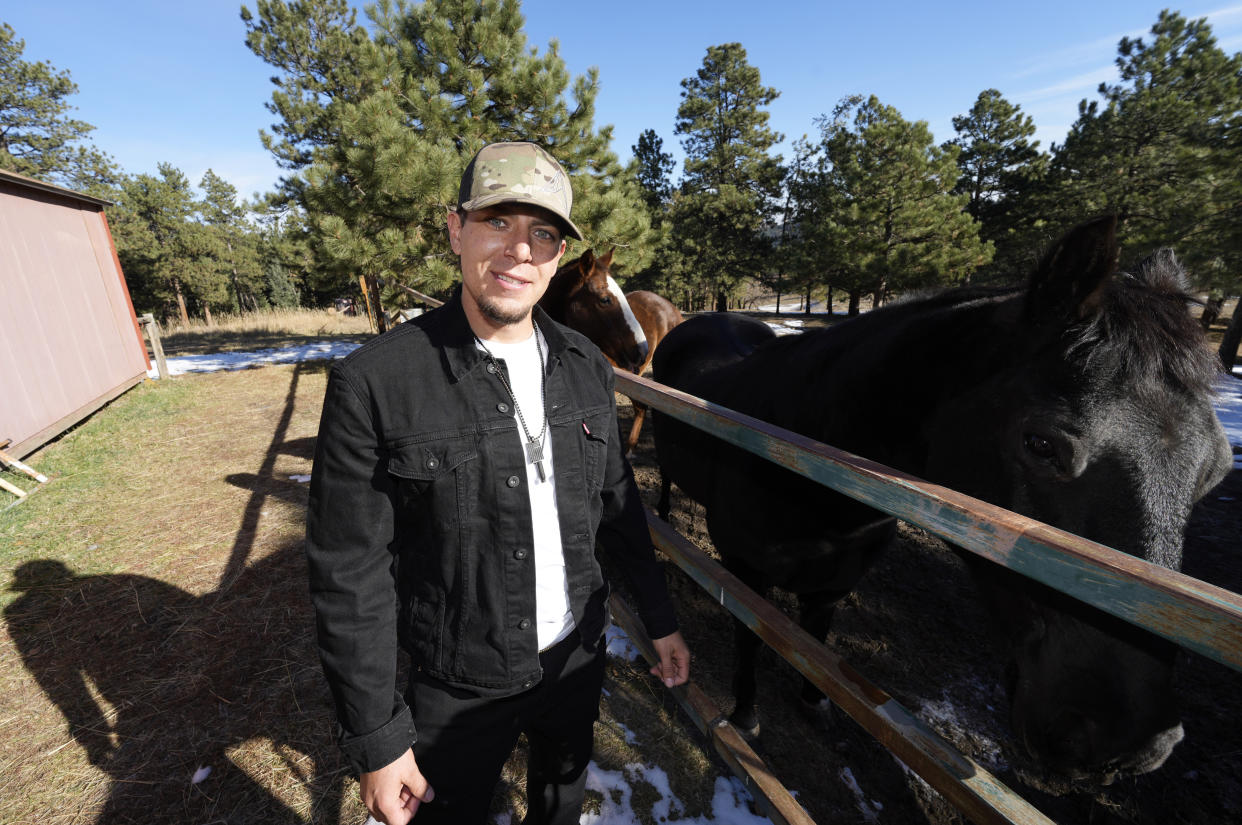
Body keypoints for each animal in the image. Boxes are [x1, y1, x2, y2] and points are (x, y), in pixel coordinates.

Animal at [650, 213, 1232, 785]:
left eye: (1218, 470)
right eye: (1041, 444)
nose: (1129, 743)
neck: (800, 460)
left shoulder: (832, 584)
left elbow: (814, 640)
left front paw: (814, 702)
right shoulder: (745, 572)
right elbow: (750, 637)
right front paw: (746, 716)